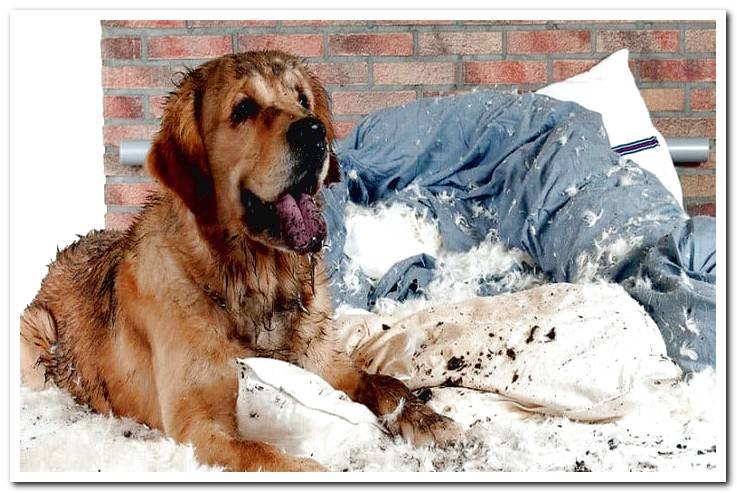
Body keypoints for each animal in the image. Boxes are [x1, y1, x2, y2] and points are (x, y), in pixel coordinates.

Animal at [20, 51, 458, 472]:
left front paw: (430, 421)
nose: (314, 131)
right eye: (244, 108)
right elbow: (271, 457)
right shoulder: (198, 424)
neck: (253, 279)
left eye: (302, 99)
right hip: (36, 328)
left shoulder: (330, 369)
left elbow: (385, 383)